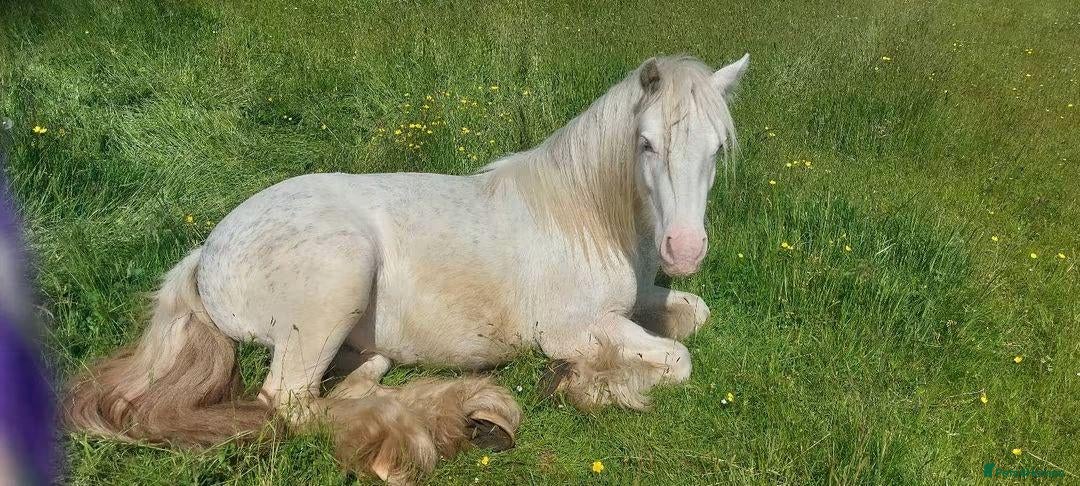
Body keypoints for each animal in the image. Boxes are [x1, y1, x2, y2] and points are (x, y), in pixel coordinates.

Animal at [64, 53, 750, 484]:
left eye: (717, 149)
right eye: (647, 144)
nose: (684, 250)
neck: (584, 215)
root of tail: (207, 251)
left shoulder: (636, 301)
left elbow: (693, 315)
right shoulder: (569, 326)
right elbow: (677, 359)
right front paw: (585, 384)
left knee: (344, 382)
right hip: (337, 280)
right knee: (290, 402)